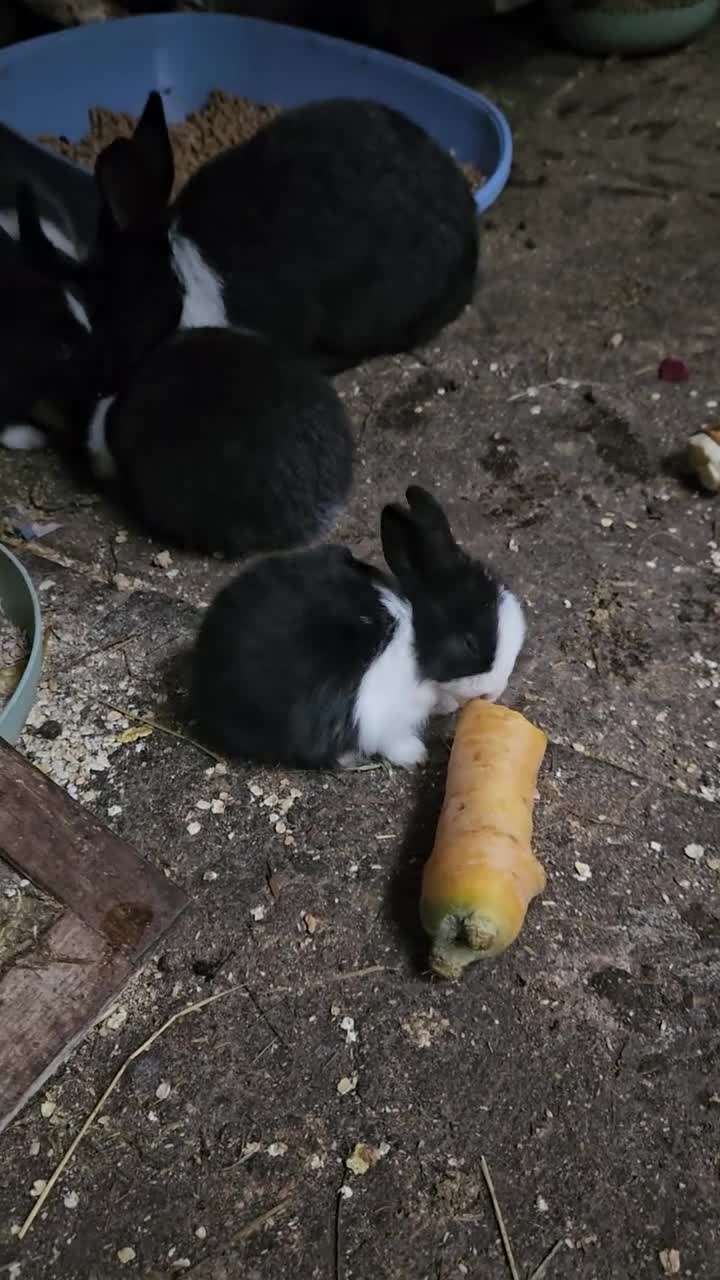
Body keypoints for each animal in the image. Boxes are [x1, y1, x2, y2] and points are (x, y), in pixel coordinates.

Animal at [191, 485, 526, 769]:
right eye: (469, 643)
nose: (494, 693)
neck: (414, 637)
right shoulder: (380, 715)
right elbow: (392, 740)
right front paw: (416, 755)